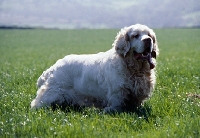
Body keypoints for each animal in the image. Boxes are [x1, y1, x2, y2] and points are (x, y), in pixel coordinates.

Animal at [30, 23, 159, 112]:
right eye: (135, 36)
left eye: (149, 35)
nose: (148, 40)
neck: (135, 69)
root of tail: (52, 68)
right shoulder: (118, 92)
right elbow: (116, 105)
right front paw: (108, 111)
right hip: (51, 94)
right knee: (36, 104)